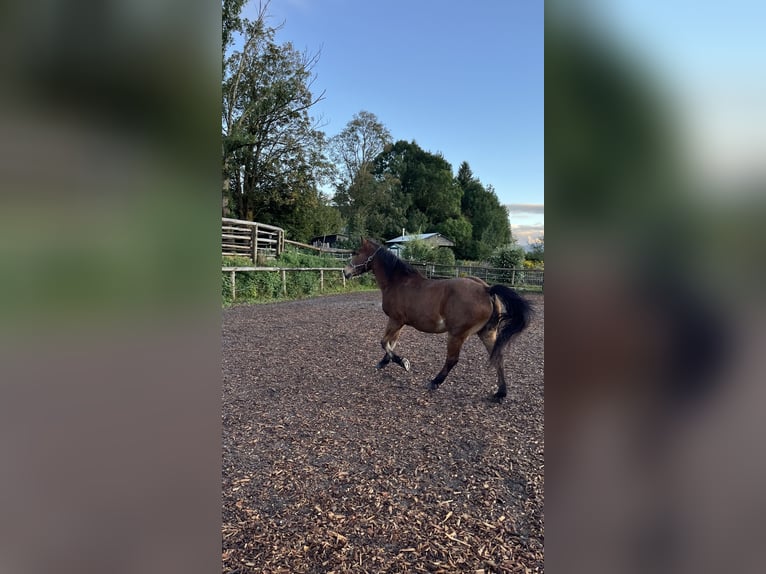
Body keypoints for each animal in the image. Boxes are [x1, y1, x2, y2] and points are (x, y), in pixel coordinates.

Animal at [344, 238, 532, 400]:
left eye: (356, 252)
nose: (345, 272)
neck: (398, 283)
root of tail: (487, 289)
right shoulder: (400, 323)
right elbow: (391, 343)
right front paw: (384, 362)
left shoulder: (395, 320)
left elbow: (384, 342)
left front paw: (403, 362)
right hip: (487, 333)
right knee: (498, 357)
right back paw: (500, 393)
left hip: (456, 335)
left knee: (452, 360)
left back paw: (435, 382)